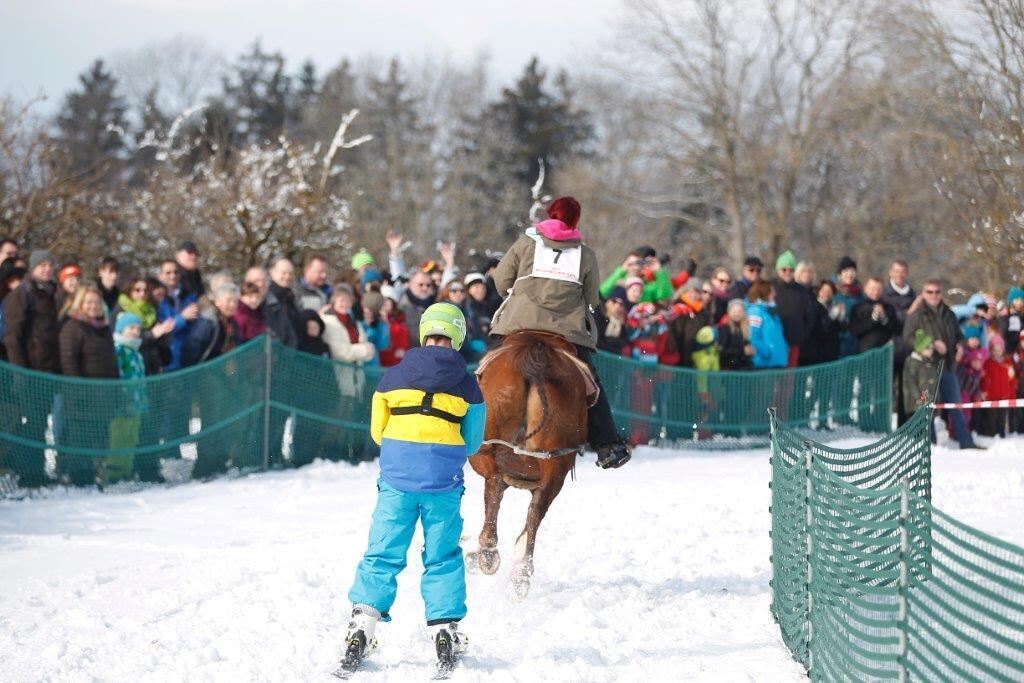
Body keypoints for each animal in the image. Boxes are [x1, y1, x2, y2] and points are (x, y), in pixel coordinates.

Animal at [466, 331, 589, 598]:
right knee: (535, 511)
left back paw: (488, 556)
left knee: (496, 493)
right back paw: (520, 574)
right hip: (555, 464)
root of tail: (536, 351)